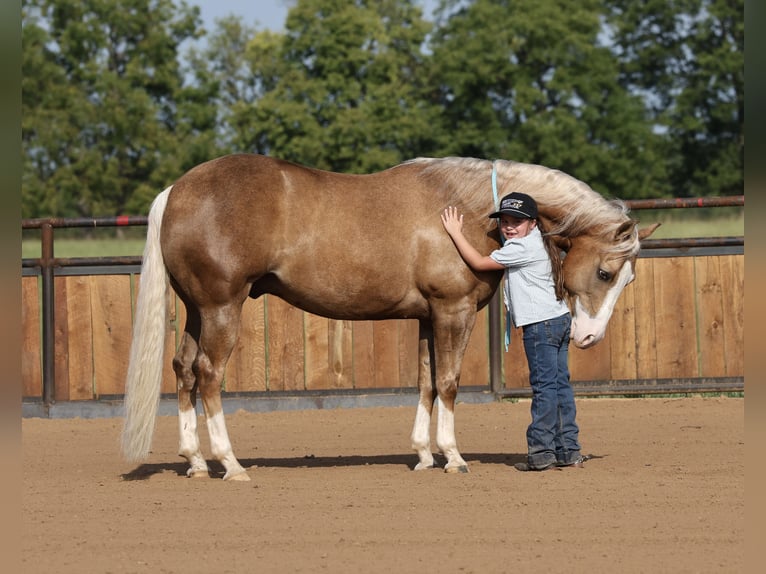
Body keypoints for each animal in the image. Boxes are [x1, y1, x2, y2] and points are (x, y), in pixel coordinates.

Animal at [121, 154, 659, 481]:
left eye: (629, 279)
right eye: (607, 272)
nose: (588, 337)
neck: (469, 210)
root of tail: (178, 189)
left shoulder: (426, 317)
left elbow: (425, 381)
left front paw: (423, 455)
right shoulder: (453, 311)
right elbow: (449, 383)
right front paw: (454, 458)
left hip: (198, 311)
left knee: (184, 372)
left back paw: (195, 462)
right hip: (221, 309)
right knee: (209, 375)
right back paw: (230, 464)